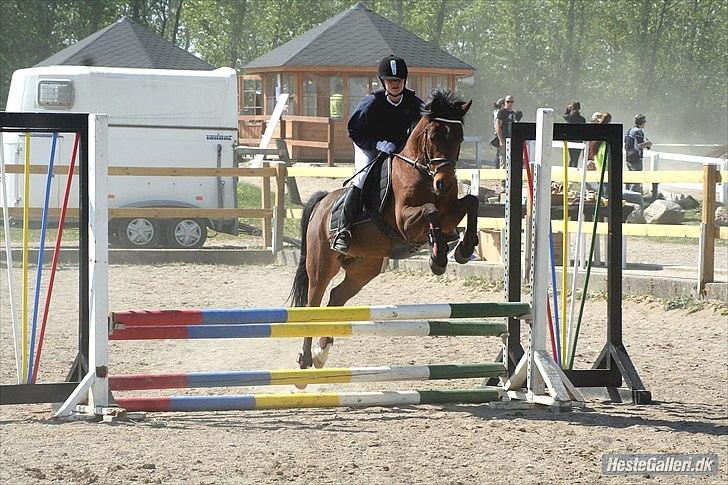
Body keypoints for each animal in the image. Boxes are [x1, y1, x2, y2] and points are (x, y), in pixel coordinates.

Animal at [288, 91, 480, 370]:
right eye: (433, 136)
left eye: (459, 137)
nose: (444, 184)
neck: (423, 172)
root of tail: (322, 203)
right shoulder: (405, 222)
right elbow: (431, 210)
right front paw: (438, 257)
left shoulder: (449, 215)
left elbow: (471, 202)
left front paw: (463, 249)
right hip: (322, 265)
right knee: (314, 305)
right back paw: (305, 357)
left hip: (364, 267)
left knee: (336, 297)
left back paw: (322, 351)